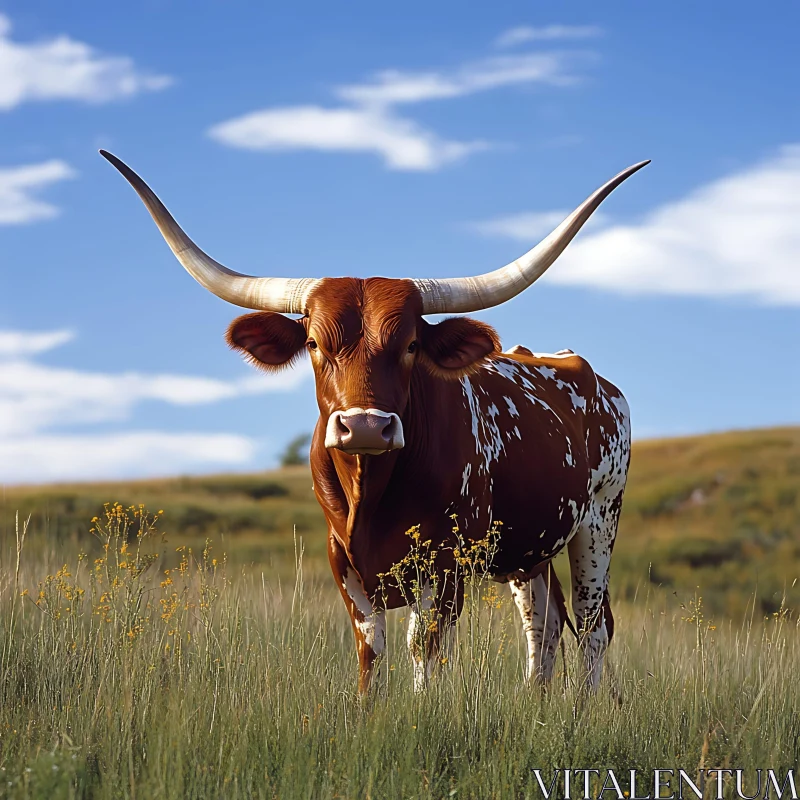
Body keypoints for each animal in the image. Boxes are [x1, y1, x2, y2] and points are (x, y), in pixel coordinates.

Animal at [101, 152, 648, 692]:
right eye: (314, 343)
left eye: (410, 345)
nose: (364, 427)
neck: (373, 492)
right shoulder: (343, 561)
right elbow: (371, 650)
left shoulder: (445, 567)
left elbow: (424, 649)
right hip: (530, 548)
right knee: (544, 622)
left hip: (599, 522)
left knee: (593, 624)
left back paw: (582, 708)